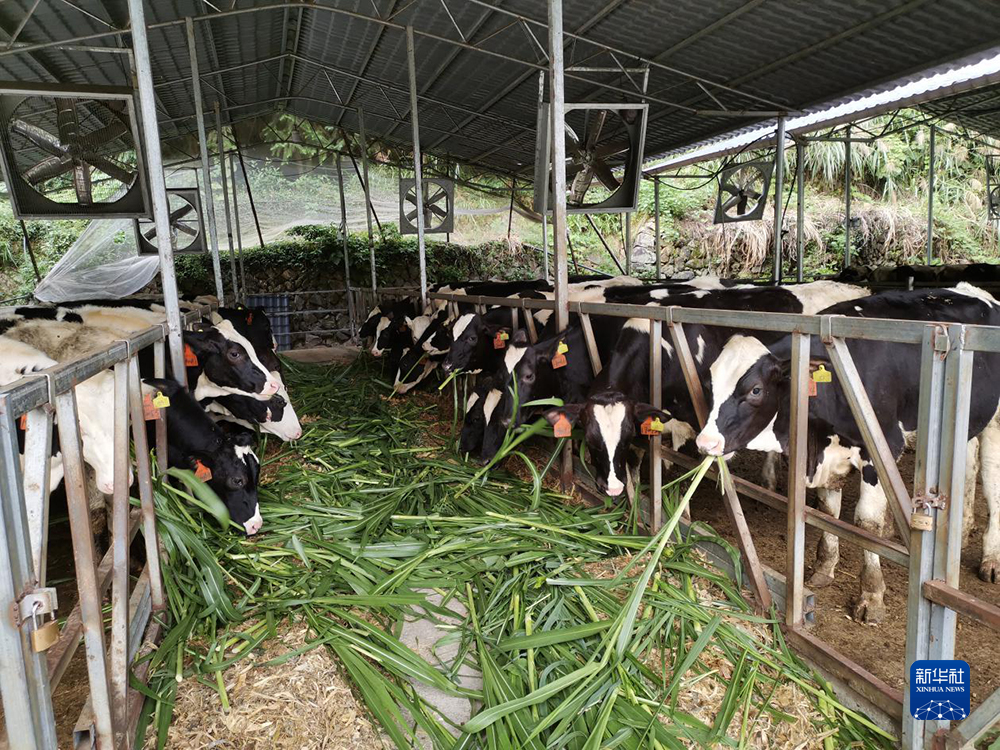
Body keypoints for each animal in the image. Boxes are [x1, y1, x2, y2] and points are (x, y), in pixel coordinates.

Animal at [692, 282, 1000, 624]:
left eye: (755, 390)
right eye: (710, 383)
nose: (706, 443)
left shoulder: (882, 448)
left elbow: (866, 523)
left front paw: (872, 596)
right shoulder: (830, 454)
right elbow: (828, 512)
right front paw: (824, 568)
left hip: (994, 421)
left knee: (991, 474)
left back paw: (990, 558)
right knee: (968, 465)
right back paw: (963, 528)